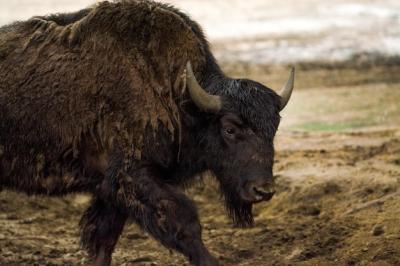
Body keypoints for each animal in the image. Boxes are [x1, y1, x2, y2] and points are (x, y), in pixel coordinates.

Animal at [0, 1, 294, 264]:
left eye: (274, 128)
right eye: (229, 128)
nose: (263, 190)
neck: (180, 97)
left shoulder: (109, 190)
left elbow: (104, 241)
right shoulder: (133, 176)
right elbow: (186, 223)